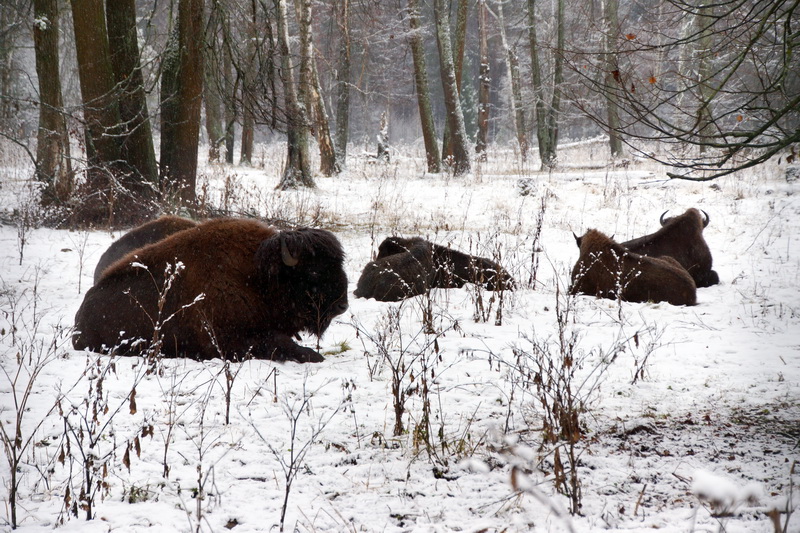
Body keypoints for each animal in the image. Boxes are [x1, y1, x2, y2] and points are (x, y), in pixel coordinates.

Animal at [73, 216, 348, 362]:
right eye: (314, 272)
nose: (342, 305)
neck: (259, 276)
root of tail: (80, 316)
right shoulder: (228, 341)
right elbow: (280, 344)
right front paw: (315, 355)